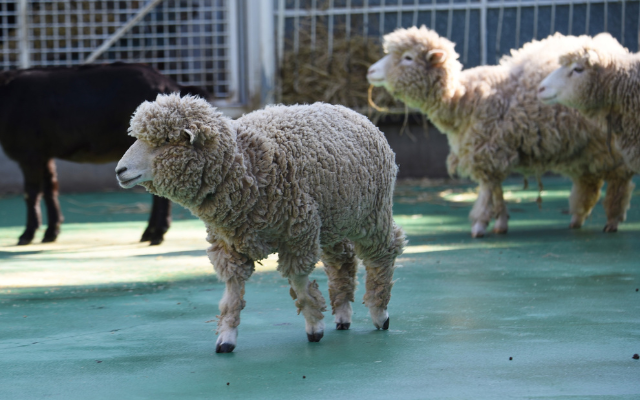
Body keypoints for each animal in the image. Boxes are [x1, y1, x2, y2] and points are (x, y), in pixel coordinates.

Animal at [0, 63, 211, 245]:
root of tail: (173, 85)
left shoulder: (29, 153)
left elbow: (31, 193)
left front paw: (27, 234)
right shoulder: (44, 153)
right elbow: (50, 188)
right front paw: (51, 232)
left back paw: (156, 234)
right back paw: (150, 233)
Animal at [115, 94, 406, 353]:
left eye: (165, 141)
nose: (120, 171)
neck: (245, 163)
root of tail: (352, 112)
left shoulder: (299, 232)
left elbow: (299, 284)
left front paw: (314, 325)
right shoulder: (230, 244)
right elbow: (232, 295)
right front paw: (226, 338)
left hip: (372, 214)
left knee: (384, 253)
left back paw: (380, 312)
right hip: (336, 219)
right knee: (342, 259)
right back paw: (343, 313)